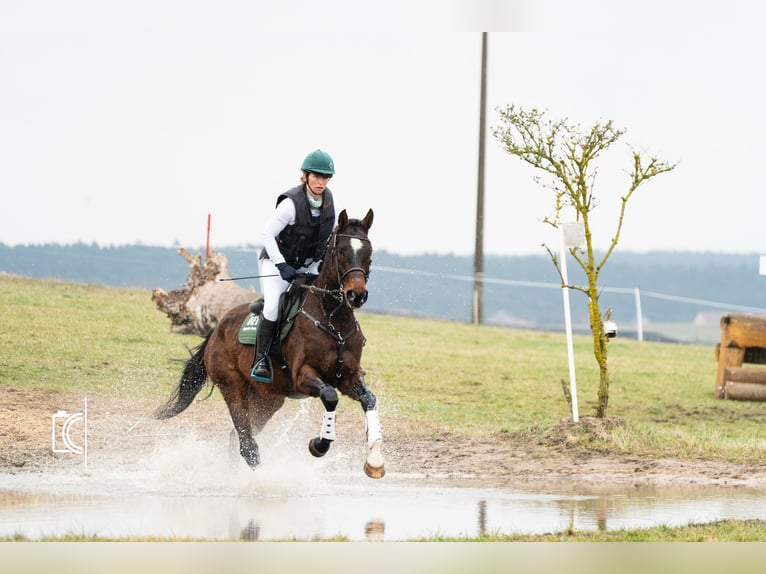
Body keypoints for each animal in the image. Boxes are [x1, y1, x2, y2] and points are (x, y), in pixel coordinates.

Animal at [154, 209, 384, 478]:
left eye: (368, 253)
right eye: (341, 251)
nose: (356, 295)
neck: (332, 319)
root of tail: (216, 330)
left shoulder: (348, 376)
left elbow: (369, 400)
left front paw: (375, 462)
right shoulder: (303, 376)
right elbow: (330, 396)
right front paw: (319, 444)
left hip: (268, 399)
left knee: (238, 438)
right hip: (232, 388)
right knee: (247, 443)